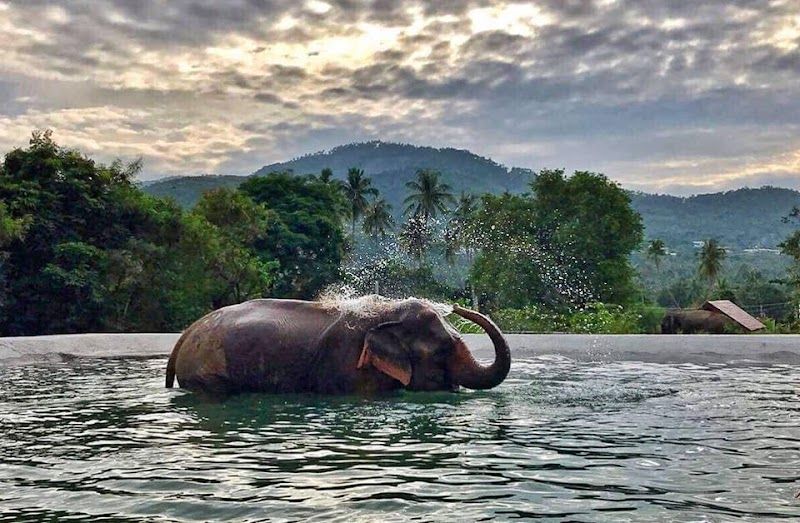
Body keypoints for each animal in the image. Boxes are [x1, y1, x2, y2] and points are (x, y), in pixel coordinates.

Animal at [165, 297, 510, 395]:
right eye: (441, 351)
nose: (457, 307)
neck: (386, 314)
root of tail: (187, 332)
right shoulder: (346, 366)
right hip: (205, 371)